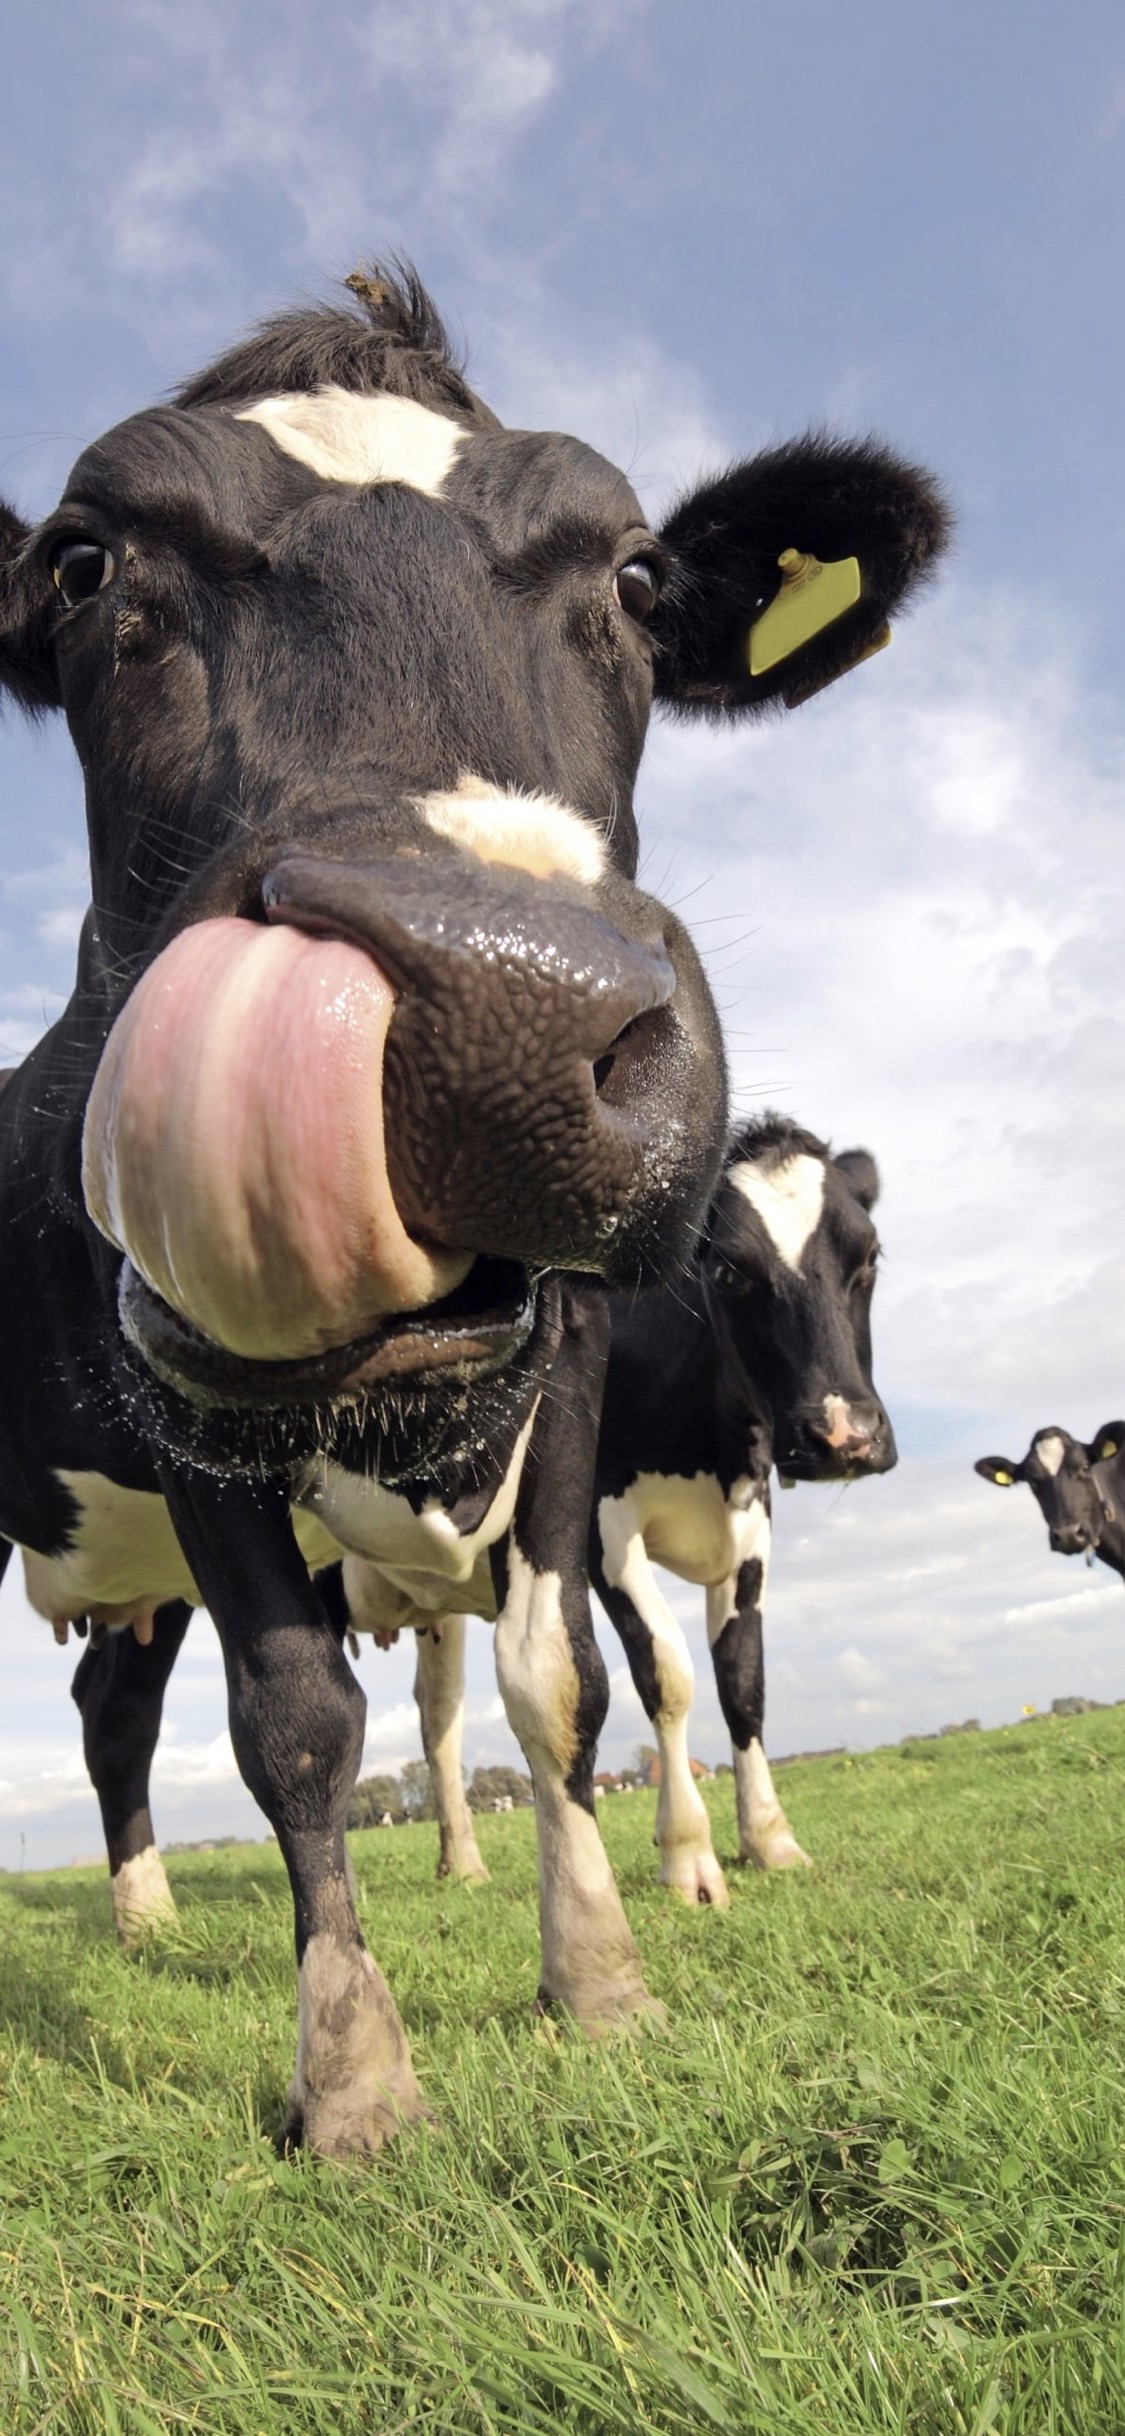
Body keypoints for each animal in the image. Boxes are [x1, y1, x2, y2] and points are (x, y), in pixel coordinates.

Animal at [0, 260, 947, 2155]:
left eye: (640, 582)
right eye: (83, 565)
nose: (501, 1002)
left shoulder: (578, 1404)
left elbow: (570, 1680)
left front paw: (605, 1980)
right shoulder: (189, 1396)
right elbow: (299, 1715)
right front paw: (352, 2077)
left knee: (115, 1708)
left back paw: (142, 1915)